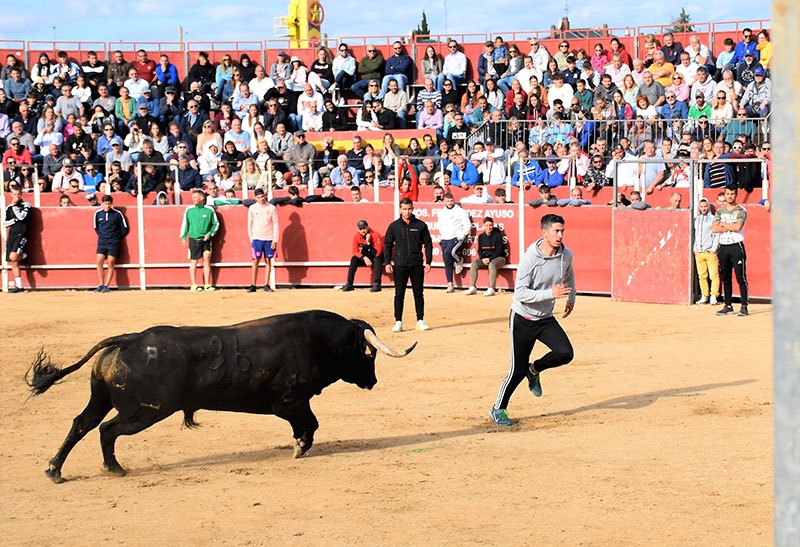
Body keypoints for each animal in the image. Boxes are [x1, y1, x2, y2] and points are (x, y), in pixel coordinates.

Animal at [26, 310, 412, 486]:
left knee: (81, 424)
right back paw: (114, 467)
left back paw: (54, 470)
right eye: (367, 354)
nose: (373, 381)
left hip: (102, 399)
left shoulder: (293, 404)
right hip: (145, 411)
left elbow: (308, 425)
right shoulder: (290, 402)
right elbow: (311, 425)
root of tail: (130, 339)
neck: (317, 342)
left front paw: (298, 445)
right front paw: (299, 448)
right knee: (107, 430)